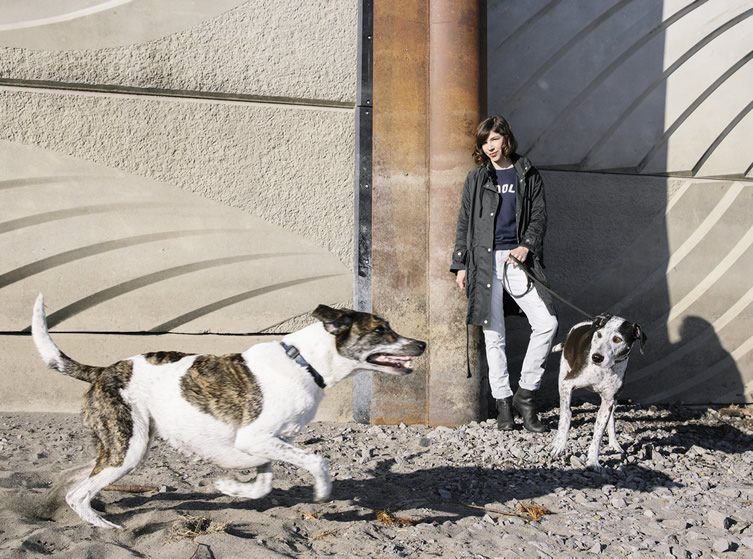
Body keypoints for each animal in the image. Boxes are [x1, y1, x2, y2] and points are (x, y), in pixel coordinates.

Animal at [29, 296, 424, 532]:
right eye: (380, 330)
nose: (421, 344)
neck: (305, 362)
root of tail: (102, 371)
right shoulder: (255, 438)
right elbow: (318, 461)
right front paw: (323, 492)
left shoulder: (267, 443)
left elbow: (262, 485)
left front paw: (228, 487)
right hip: (129, 448)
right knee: (78, 493)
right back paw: (106, 527)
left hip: (122, 446)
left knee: (77, 477)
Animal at [548, 312, 648, 470]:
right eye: (599, 335)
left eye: (617, 339)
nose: (596, 357)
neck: (605, 369)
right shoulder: (567, 384)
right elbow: (566, 416)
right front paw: (559, 445)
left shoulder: (608, 400)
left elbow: (599, 432)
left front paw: (593, 460)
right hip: (563, 372)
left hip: (614, 401)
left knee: (612, 421)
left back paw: (615, 444)